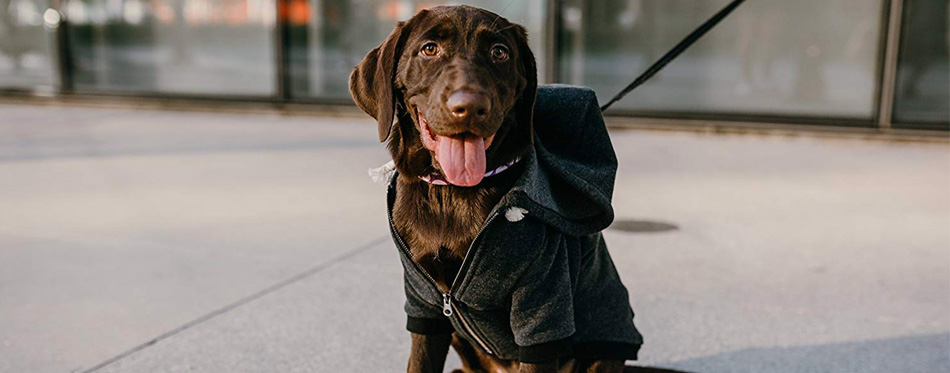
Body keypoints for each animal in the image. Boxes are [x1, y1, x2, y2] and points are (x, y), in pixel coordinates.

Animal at [350, 5, 648, 372]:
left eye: (499, 52)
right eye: (429, 48)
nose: (470, 106)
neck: (452, 193)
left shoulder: (541, 307)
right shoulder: (425, 306)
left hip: (600, 354)